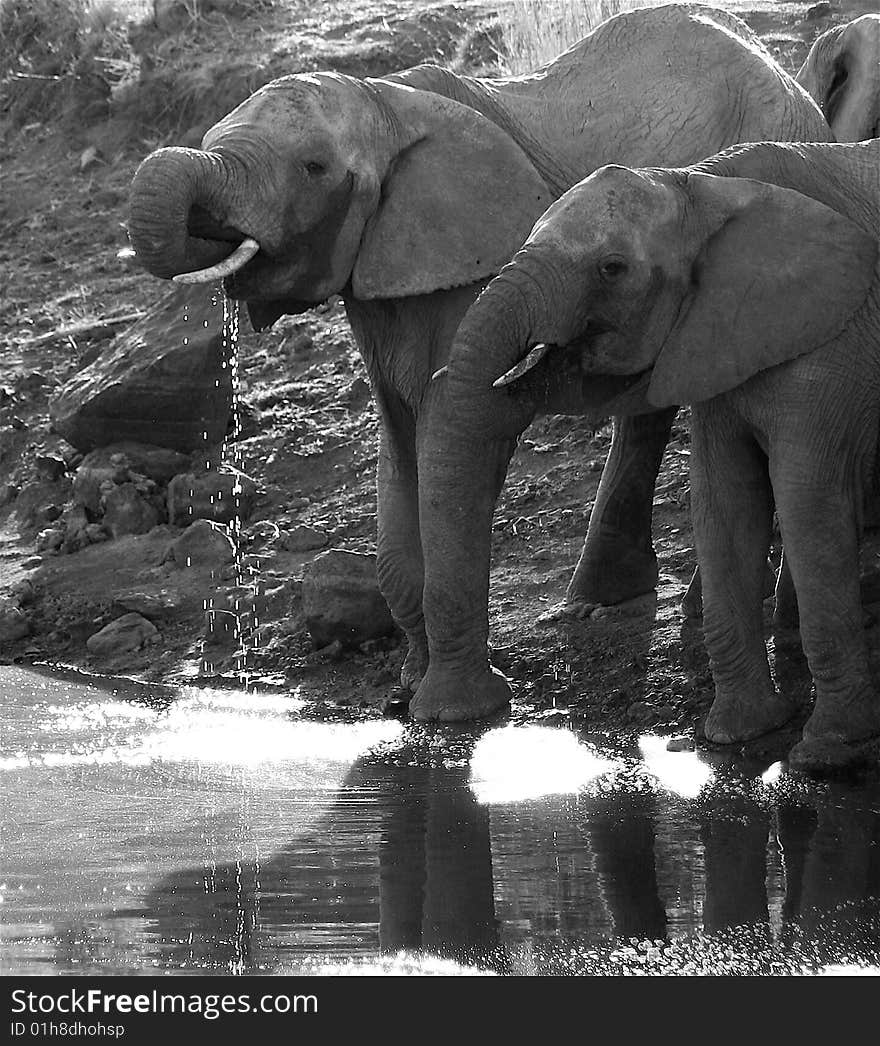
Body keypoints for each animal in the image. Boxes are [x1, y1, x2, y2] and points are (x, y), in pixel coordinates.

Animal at [123, 2, 832, 719]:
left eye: (314, 168)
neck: (387, 101)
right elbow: (399, 447)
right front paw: (409, 684)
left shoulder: (476, 266)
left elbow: (459, 434)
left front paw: (454, 712)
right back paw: (598, 603)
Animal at [435, 139, 878, 774]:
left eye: (612, 268)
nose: (477, 707)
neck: (703, 185)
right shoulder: (717, 339)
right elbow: (724, 501)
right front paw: (737, 735)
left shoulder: (832, 341)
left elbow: (809, 504)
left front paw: (826, 755)